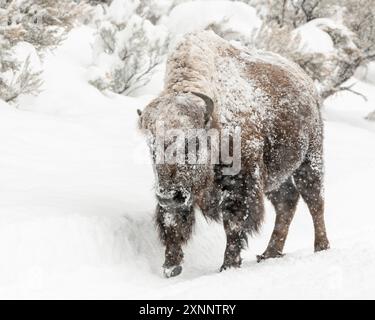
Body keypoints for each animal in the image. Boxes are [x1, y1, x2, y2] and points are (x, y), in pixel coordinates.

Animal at [140, 30, 330, 278]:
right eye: (152, 146)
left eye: (194, 142)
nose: (169, 196)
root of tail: (307, 84)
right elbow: (172, 223)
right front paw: (171, 266)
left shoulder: (240, 185)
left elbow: (234, 224)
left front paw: (228, 265)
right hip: (276, 178)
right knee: (287, 202)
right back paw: (269, 253)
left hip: (310, 160)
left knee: (314, 200)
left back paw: (321, 247)